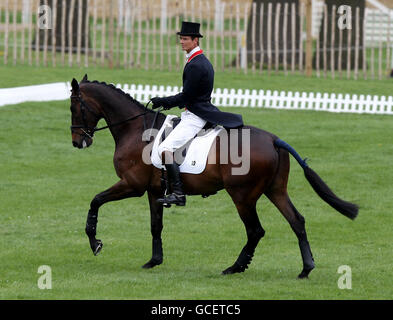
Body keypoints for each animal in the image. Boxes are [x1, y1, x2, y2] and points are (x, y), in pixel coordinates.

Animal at [69, 75, 356, 278]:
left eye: (74, 107)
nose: (77, 142)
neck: (135, 129)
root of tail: (274, 139)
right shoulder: (154, 191)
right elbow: (155, 226)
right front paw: (154, 261)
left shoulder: (132, 185)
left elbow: (95, 201)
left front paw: (95, 243)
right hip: (275, 190)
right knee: (296, 221)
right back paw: (306, 268)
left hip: (242, 196)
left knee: (255, 230)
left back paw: (235, 267)